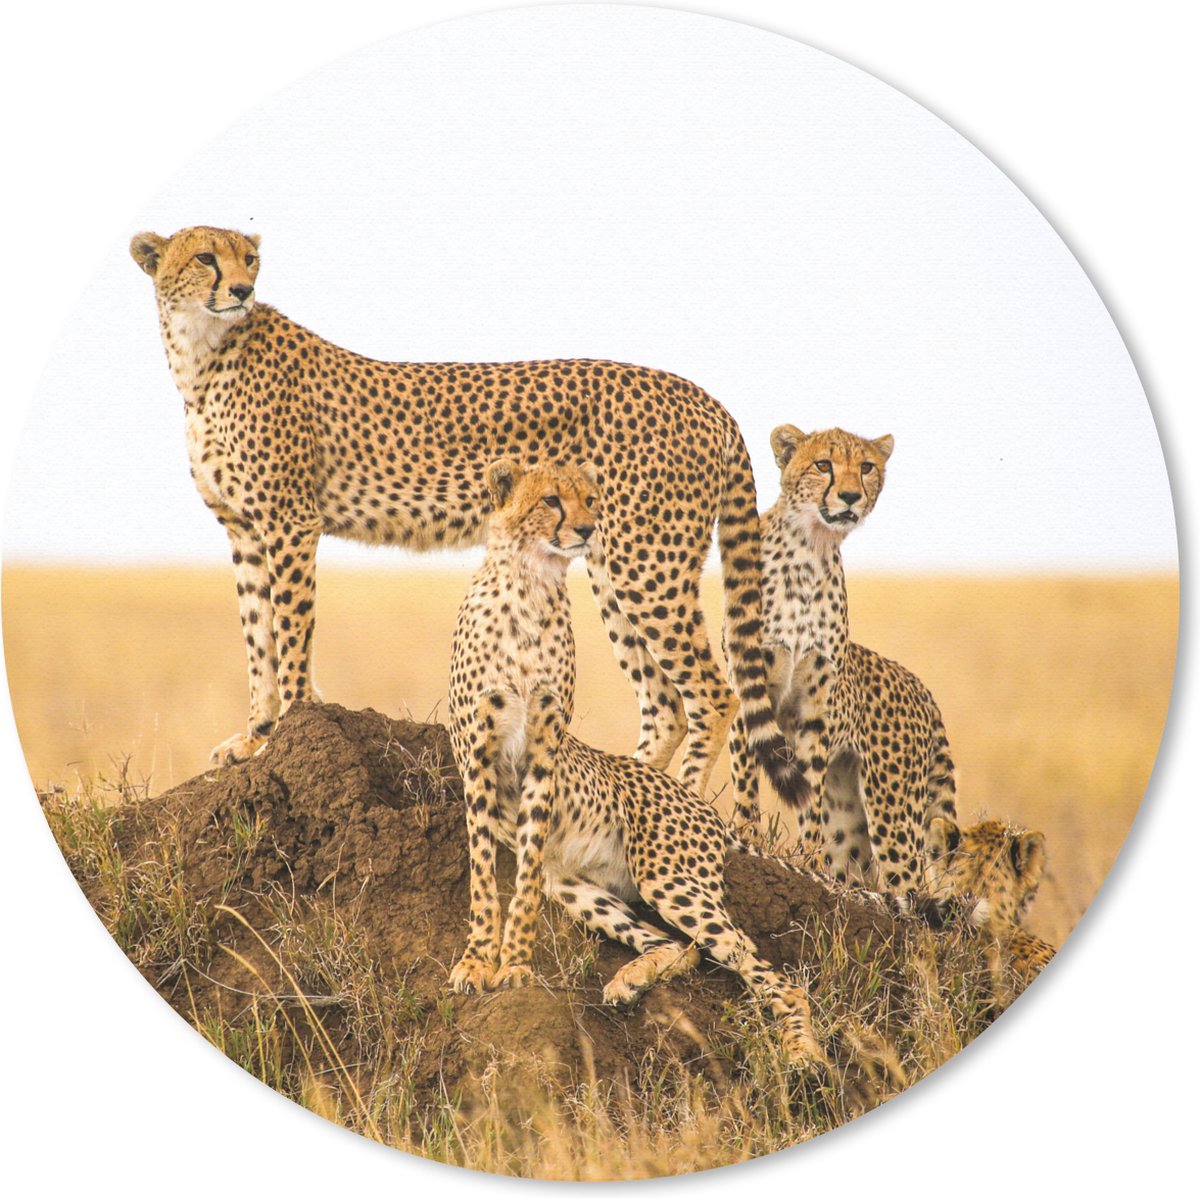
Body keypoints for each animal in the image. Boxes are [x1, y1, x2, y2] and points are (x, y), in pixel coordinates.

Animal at [129, 226, 800, 800]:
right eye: (206, 257)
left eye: (250, 259)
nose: (242, 290)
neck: (202, 355)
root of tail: (704, 397)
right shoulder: (244, 528)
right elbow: (257, 638)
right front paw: (254, 737)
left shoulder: (289, 520)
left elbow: (290, 632)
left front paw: (286, 730)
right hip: (611, 561)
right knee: (665, 703)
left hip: (647, 563)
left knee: (712, 694)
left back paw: (682, 803)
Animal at [727, 425, 958, 901]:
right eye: (823, 464)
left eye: (866, 467)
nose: (850, 496)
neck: (810, 548)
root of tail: (920, 685)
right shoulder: (748, 688)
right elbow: (746, 784)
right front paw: (747, 839)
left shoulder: (814, 711)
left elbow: (808, 796)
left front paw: (807, 862)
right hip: (857, 815)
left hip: (892, 808)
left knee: (907, 884)